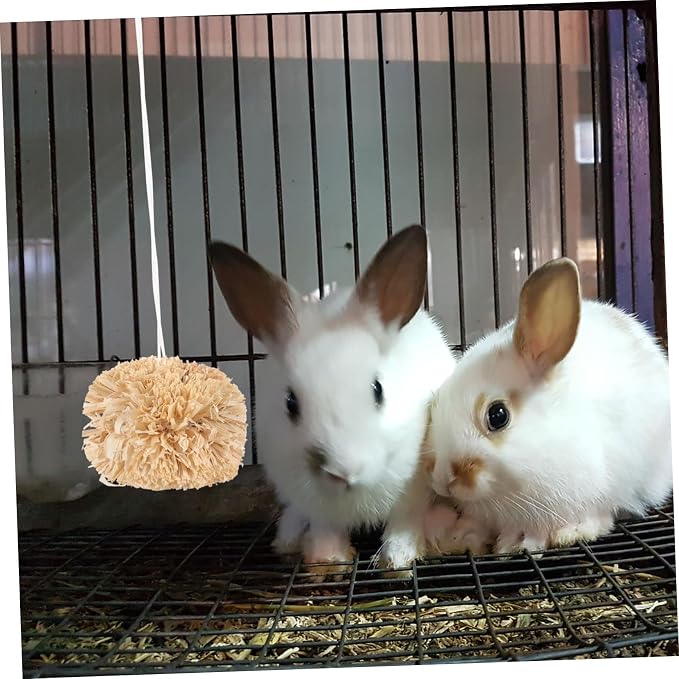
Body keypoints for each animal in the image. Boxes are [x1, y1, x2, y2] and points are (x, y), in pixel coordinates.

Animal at [208, 224, 457, 576]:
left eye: (378, 389)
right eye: (290, 403)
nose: (343, 470)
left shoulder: (414, 490)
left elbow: (402, 524)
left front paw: (397, 560)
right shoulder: (314, 502)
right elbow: (326, 528)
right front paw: (327, 563)